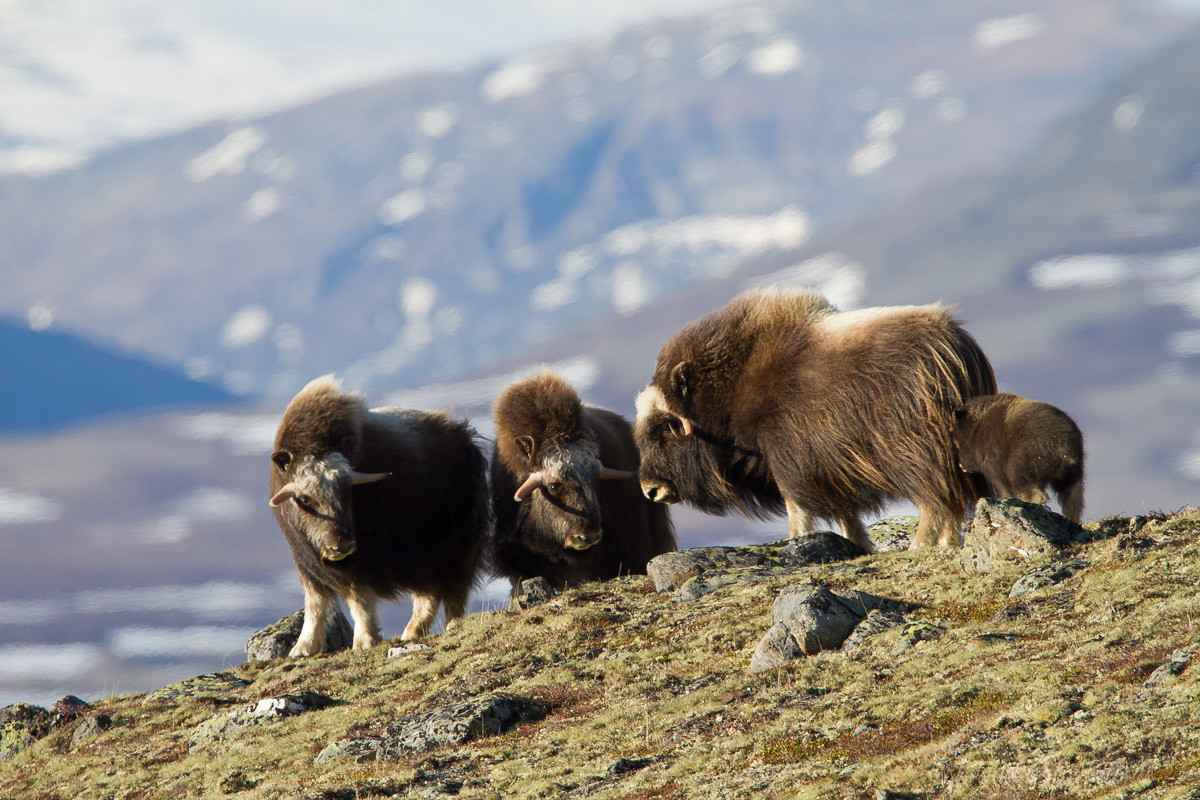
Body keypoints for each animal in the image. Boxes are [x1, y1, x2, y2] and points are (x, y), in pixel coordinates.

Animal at [268, 376, 487, 657]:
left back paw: (452, 625)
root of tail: (466, 439)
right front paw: (303, 648)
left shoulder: (362, 562)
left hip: (455, 546)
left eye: (348, 490)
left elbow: (359, 599)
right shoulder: (306, 561)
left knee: (452, 590)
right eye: (305, 499)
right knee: (428, 594)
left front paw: (364, 642)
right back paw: (411, 633)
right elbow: (315, 603)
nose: (341, 547)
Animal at [638, 292, 993, 551]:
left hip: (914, 452)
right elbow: (846, 513)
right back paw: (948, 544)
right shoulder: (830, 468)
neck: (733, 385)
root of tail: (955, 344)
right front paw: (859, 545)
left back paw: (919, 546)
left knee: (936, 499)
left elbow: (797, 509)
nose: (650, 491)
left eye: (664, 428)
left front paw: (798, 541)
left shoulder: (790, 462)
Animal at [950, 391, 1084, 522]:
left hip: (1024, 471)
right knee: (1072, 499)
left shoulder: (995, 471)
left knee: (1032, 492)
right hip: (1072, 476)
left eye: (956, 442)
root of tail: (1064, 446)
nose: (961, 465)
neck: (976, 427)